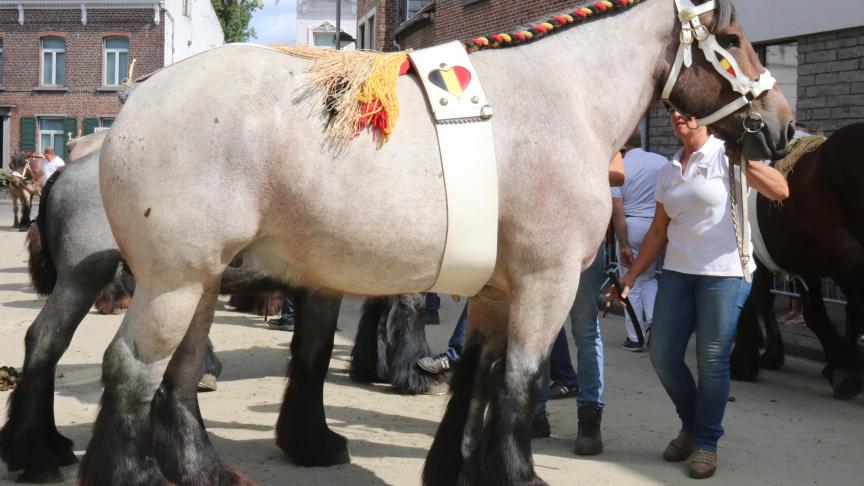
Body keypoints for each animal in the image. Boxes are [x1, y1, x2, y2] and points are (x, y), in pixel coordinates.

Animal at [77, 1, 792, 484]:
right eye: (732, 39)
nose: (781, 126)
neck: (563, 102)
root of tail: (138, 100)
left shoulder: (498, 289)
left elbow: (478, 378)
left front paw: (455, 467)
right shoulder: (549, 282)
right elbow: (521, 382)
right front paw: (516, 473)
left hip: (200, 282)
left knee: (178, 377)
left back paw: (202, 470)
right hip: (173, 283)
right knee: (132, 370)